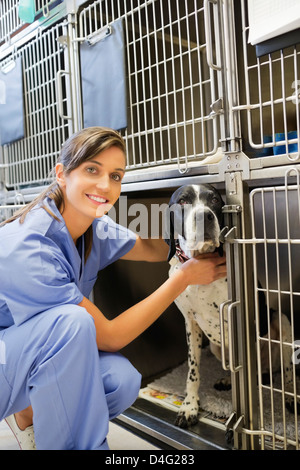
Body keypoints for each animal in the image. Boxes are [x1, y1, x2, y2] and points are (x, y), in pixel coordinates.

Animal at [165, 184, 296, 430]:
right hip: (217, 348)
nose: (204, 216)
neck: (201, 261)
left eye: (215, 199)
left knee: (286, 372)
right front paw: (189, 406)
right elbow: (193, 372)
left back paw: (290, 395)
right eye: (183, 201)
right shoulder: (191, 324)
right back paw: (229, 380)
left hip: (281, 322)